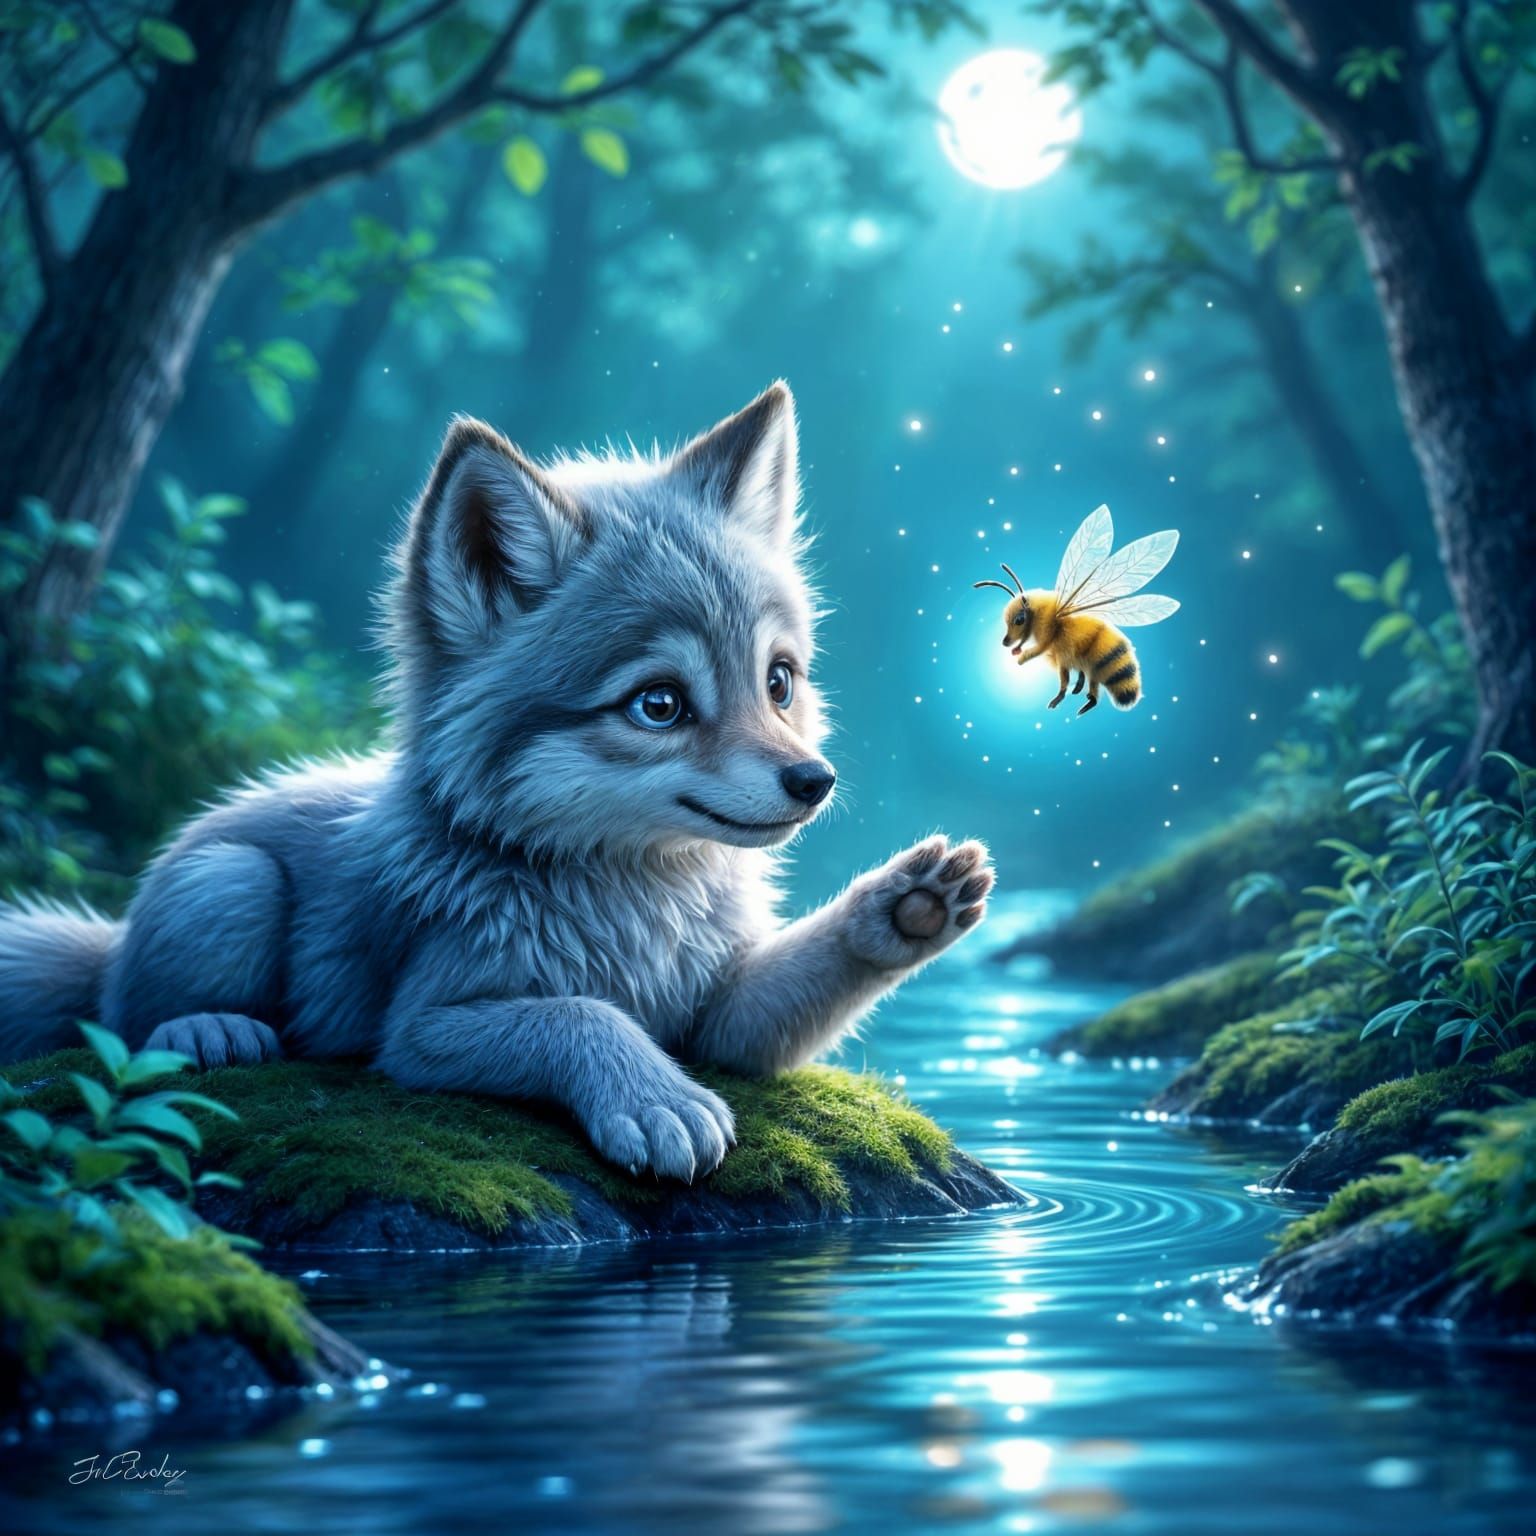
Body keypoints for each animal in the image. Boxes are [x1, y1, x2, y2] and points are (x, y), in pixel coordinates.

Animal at [0, 383, 993, 1181]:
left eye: (779, 683)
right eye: (660, 704)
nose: (813, 781)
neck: (635, 906)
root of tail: (114, 934)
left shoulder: (715, 1017)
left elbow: (791, 989)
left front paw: (907, 908)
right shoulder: (419, 1029)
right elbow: (577, 1015)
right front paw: (655, 1099)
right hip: (229, 882)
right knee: (125, 1019)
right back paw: (208, 1030)